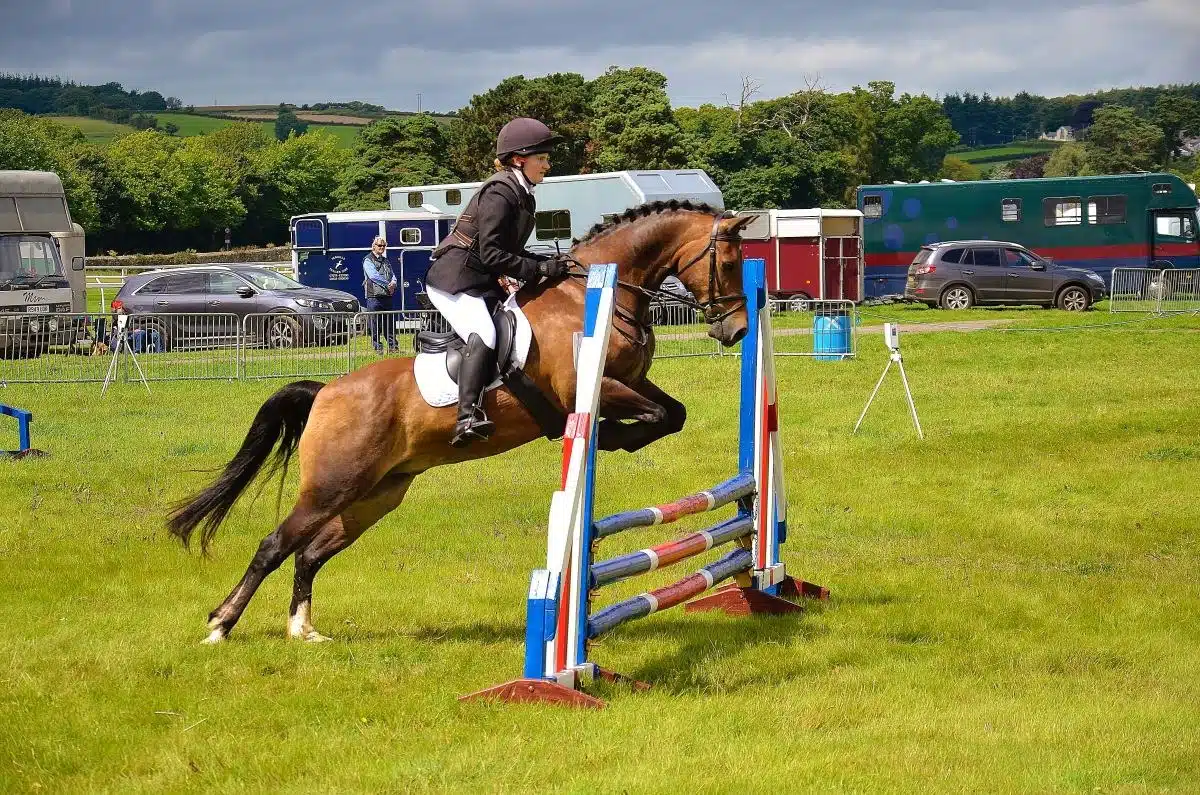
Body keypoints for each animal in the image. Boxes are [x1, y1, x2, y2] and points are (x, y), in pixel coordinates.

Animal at [169, 202, 753, 643]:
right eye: (728, 262)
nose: (737, 331)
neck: (596, 296)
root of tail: (326, 392)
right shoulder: (590, 387)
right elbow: (649, 415)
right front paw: (608, 437)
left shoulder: (632, 381)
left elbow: (672, 413)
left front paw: (614, 438)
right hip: (332, 485)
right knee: (274, 545)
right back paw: (220, 626)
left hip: (375, 494)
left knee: (309, 552)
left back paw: (303, 630)